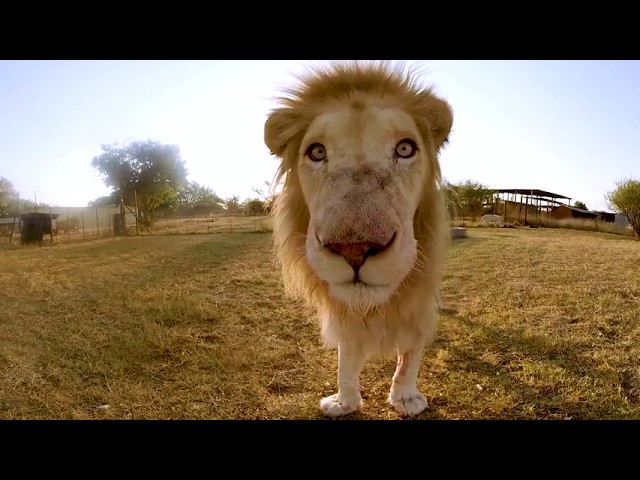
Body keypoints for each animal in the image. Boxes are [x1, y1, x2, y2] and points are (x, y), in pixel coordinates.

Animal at [264, 61, 453, 418]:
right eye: (317, 152)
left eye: (405, 148)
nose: (354, 249)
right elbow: (346, 358)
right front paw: (344, 402)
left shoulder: (419, 299)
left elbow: (411, 353)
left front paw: (406, 398)